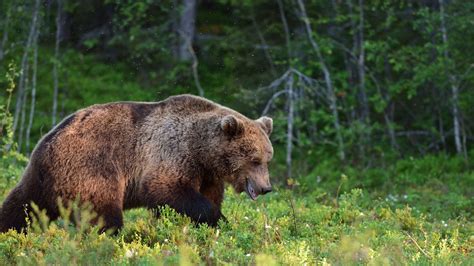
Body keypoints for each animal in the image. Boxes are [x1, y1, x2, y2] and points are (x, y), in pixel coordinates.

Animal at [0, 94, 274, 232]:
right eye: (254, 159)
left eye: (267, 158)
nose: (266, 187)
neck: (202, 150)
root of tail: (48, 142)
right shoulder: (171, 153)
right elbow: (167, 190)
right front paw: (217, 218)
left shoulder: (207, 173)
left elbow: (208, 196)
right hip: (90, 167)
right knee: (103, 213)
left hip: (39, 178)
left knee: (21, 205)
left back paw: (10, 230)